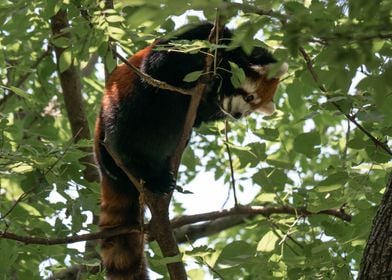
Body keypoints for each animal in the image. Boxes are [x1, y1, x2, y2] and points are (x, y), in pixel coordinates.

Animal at [94, 23, 286, 278]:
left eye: (250, 111)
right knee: (122, 133)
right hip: (113, 118)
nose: (236, 115)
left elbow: (200, 116)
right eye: (249, 97)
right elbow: (160, 64)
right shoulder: (197, 36)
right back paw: (131, 167)